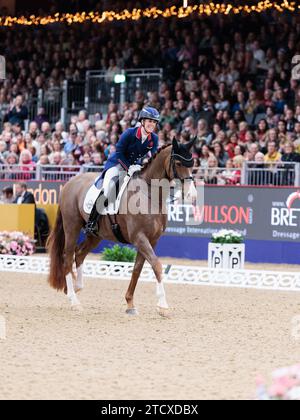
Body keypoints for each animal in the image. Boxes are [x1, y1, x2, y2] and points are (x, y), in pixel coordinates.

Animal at [47, 137, 197, 316]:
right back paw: (73, 300)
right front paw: (163, 306)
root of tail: (69, 183)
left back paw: (76, 288)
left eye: (193, 163)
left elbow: (137, 269)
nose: (193, 196)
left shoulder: (151, 240)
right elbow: (157, 265)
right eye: (179, 163)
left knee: (80, 253)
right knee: (68, 257)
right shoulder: (139, 238)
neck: (150, 195)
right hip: (72, 227)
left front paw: (130, 304)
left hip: (95, 235)